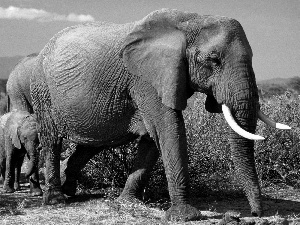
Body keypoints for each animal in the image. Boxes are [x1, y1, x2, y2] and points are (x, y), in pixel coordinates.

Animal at [30, 9, 290, 221]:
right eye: (214, 60)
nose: (256, 214)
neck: (189, 21)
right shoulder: (145, 78)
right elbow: (169, 128)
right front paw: (185, 216)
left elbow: (152, 137)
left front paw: (128, 202)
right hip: (42, 90)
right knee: (52, 140)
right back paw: (56, 200)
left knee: (93, 143)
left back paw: (69, 189)